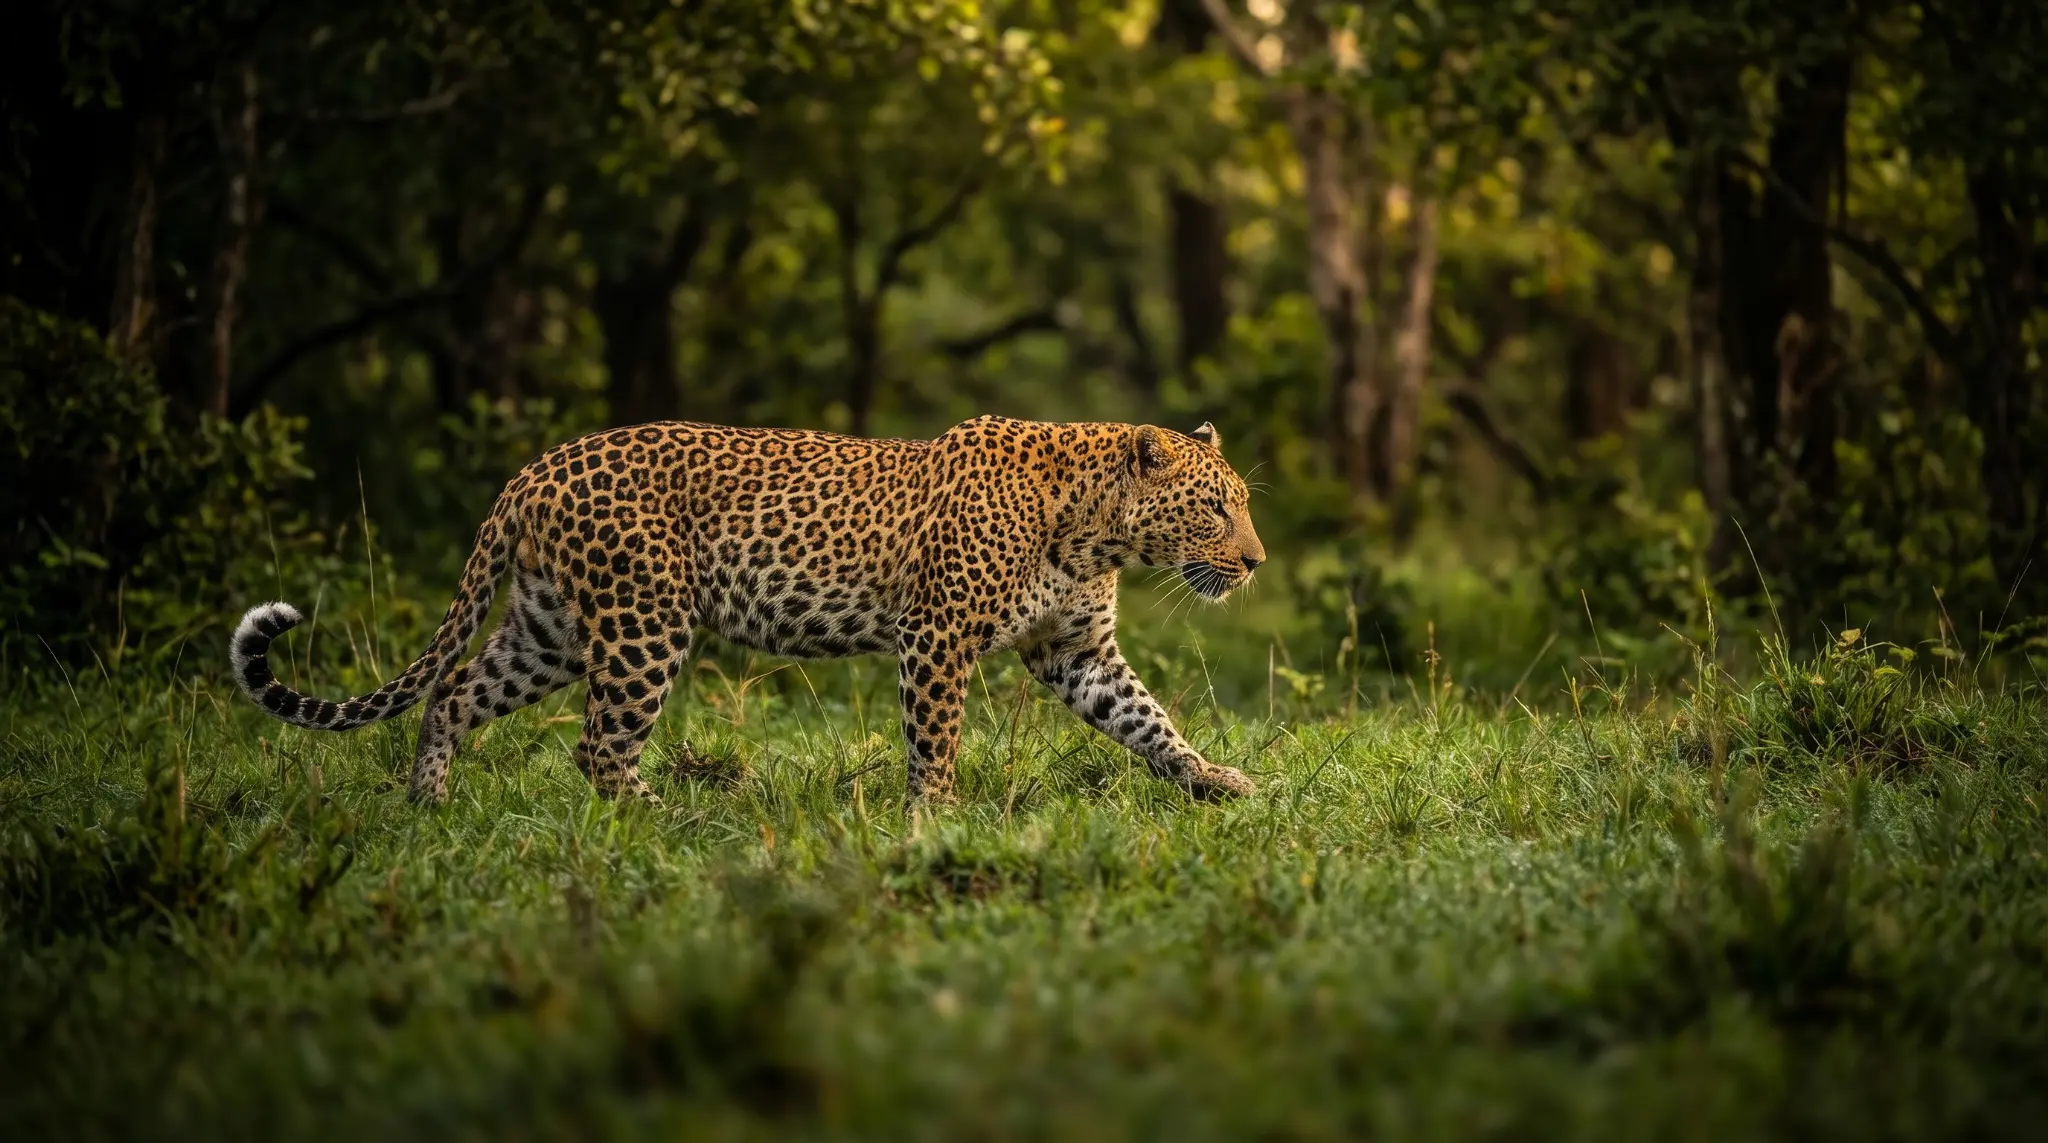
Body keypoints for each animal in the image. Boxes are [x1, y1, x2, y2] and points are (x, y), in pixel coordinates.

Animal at [229, 415, 1267, 805]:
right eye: (1216, 506)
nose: (1256, 561)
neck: (1097, 530)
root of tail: (534, 469)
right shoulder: (936, 636)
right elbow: (935, 739)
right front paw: (937, 817)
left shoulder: (1075, 650)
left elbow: (1147, 718)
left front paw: (1215, 779)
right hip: (643, 621)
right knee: (598, 745)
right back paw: (670, 817)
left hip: (548, 630)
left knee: (452, 695)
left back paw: (429, 806)